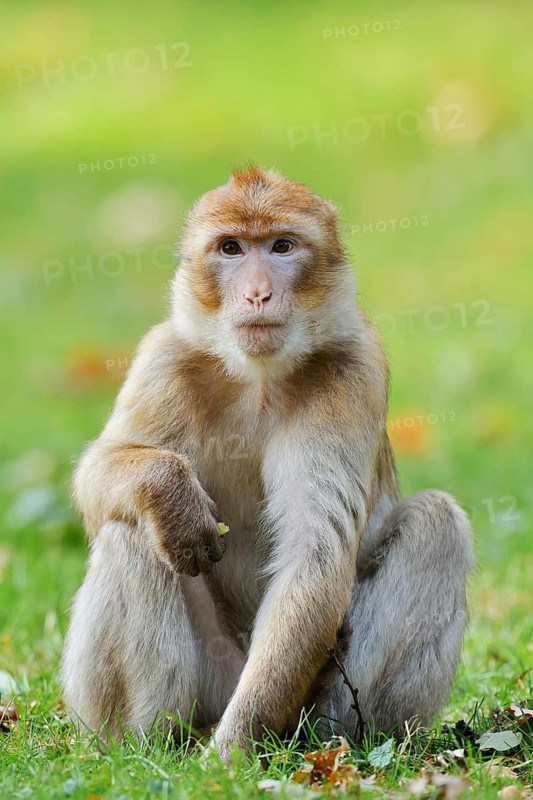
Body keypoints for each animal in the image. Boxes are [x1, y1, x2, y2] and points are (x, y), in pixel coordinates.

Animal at [61, 167, 474, 761]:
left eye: (281, 246)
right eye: (231, 248)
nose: (258, 292)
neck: (257, 378)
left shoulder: (352, 373)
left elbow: (313, 557)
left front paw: (230, 753)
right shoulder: (164, 357)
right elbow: (100, 474)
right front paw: (168, 493)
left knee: (437, 522)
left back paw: (339, 741)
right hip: (214, 681)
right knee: (130, 534)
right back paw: (145, 746)